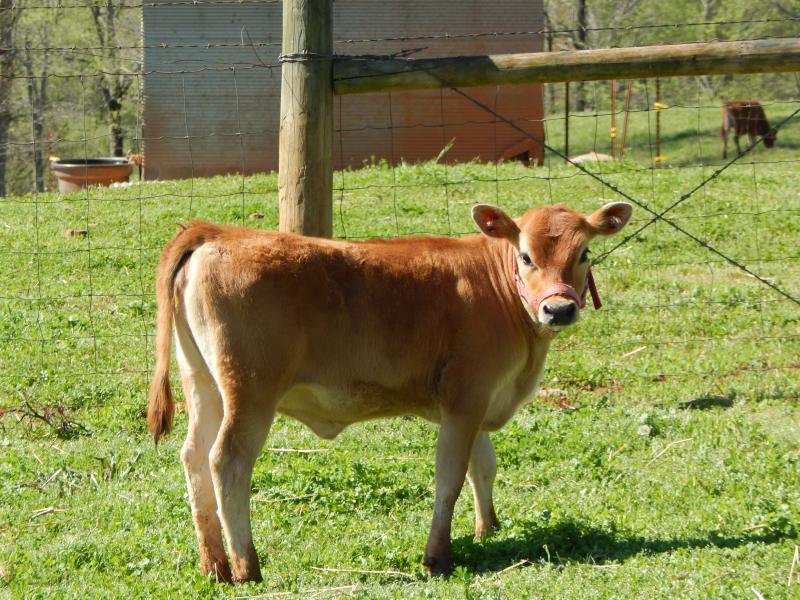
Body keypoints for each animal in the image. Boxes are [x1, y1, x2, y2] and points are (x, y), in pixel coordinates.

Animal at [147, 201, 633, 583]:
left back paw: (214, 565)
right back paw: (247, 567)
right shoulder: (466, 398)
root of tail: (217, 233)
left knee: (193, 456)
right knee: (226, 461)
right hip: (250, 392)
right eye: (526, 256)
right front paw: (438, 556)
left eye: (585, 253)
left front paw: (487, 529)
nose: (559, 309)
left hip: (203, 384)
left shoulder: (478, 399)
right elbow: (451, 476)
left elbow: (484, 466)